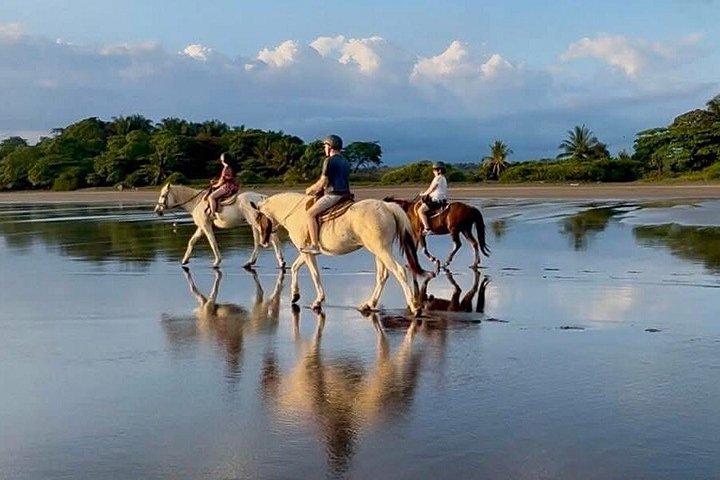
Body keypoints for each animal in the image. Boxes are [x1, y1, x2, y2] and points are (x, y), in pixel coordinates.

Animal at [153, 184, 285, 269]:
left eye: (163, 195)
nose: (157, 210)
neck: (196, 202)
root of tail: (262, 197)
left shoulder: (206, 226)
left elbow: (212, 242)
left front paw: (217, 262)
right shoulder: (201, 227)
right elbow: (192, 241)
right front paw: (185, 260)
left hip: (255, 223)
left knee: (272, 240)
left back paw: (281, 262)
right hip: (253, 224)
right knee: (259, 242)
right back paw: (250, 262)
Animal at [256, 192, 426, 314]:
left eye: (258, 218)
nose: (263, 242)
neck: (297, 213)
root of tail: (387, 206)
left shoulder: (307, 252)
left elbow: (314, 274)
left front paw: (318, 301)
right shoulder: (305, 252)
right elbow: (295, 267)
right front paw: (295, 295)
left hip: (381, 249)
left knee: (399, 271)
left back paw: (414, 306)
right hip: (379, 251)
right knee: (382, 276)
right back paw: (369, 304)